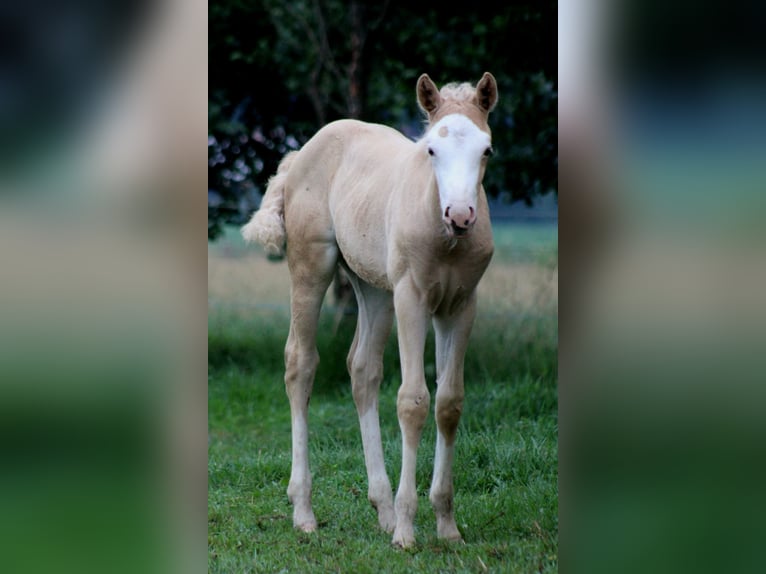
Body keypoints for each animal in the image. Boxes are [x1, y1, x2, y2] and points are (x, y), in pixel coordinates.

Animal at [242, 72, 498, 548]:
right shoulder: (411, 298)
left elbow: (449, 403)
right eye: (431, 150)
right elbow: (413, 401)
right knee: (300, 364)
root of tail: (301, 152)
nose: (459, 216)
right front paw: (407, 532)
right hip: (313, 265)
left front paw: (446, 526)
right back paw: (304, 511)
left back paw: (382, 509)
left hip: (373, 288)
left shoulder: (460, 305)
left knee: (362, 370)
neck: (445, 239)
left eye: (486, 150)